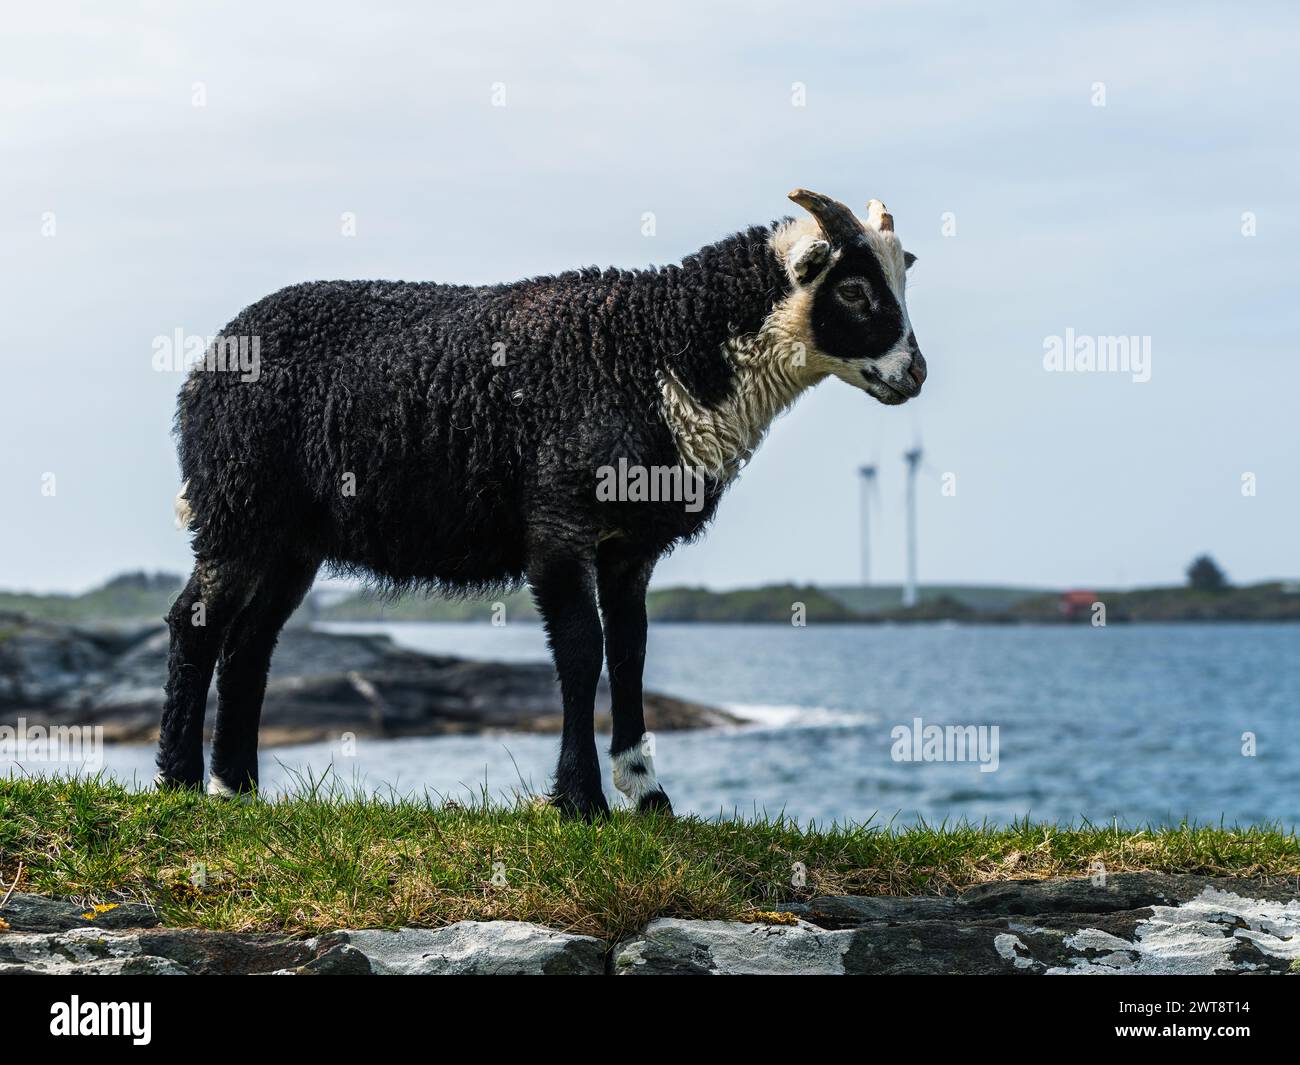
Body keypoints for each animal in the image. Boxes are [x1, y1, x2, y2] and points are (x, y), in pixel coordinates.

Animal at [159, 189, 925, 816]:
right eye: (855, 290)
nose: (915, 373)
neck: (665, 348)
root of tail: (208, 362)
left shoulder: (631, 546)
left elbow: (631, 651)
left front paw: (647, 793)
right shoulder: (559, 522)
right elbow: (583, 651)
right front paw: (581, 800)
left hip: (290, 537)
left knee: (251, 642)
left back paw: (237, 788)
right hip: (237, 505)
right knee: (196, 622)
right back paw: (180, 783)